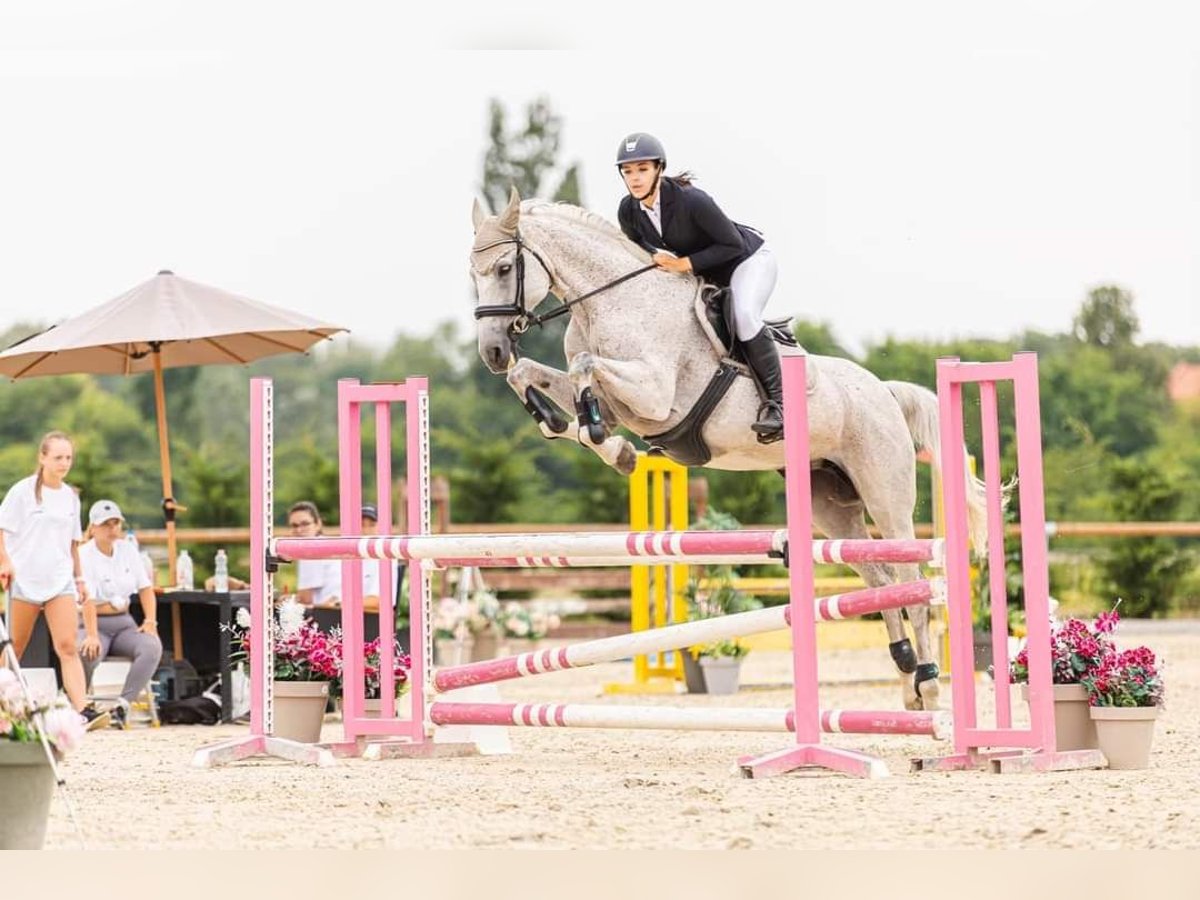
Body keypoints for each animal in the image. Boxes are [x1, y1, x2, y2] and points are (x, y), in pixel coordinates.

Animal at [465, 190, 984, 710]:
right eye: (473, 274)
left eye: (506, 267)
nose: (492, 352)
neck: (610, 305)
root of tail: (885, 392)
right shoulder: (622, 405)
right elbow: (535, 375)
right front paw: (596, 441)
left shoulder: (654, 396)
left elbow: (585, 369)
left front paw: (596, 433)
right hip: (830, 504)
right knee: (879, 577)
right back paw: (907, 678)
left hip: (885, 494)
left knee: (911, 573)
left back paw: (930, 683)